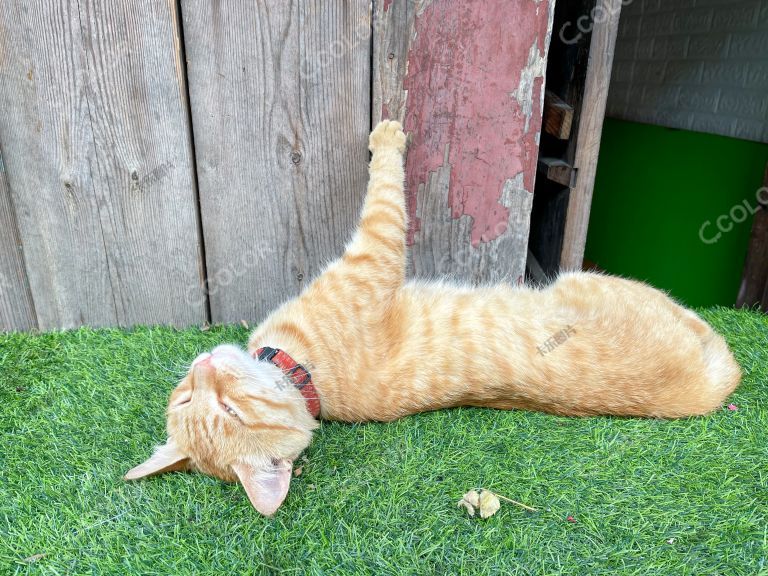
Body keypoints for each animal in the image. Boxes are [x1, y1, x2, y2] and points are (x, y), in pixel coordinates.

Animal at [126, 119, 736, 516]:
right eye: (213, 405)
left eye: (197, 400)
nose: (203, 366)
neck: (306, 376)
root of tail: (713, 388)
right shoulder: (374, 251)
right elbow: (384, 195)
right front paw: (388, 136)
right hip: (584, 281)